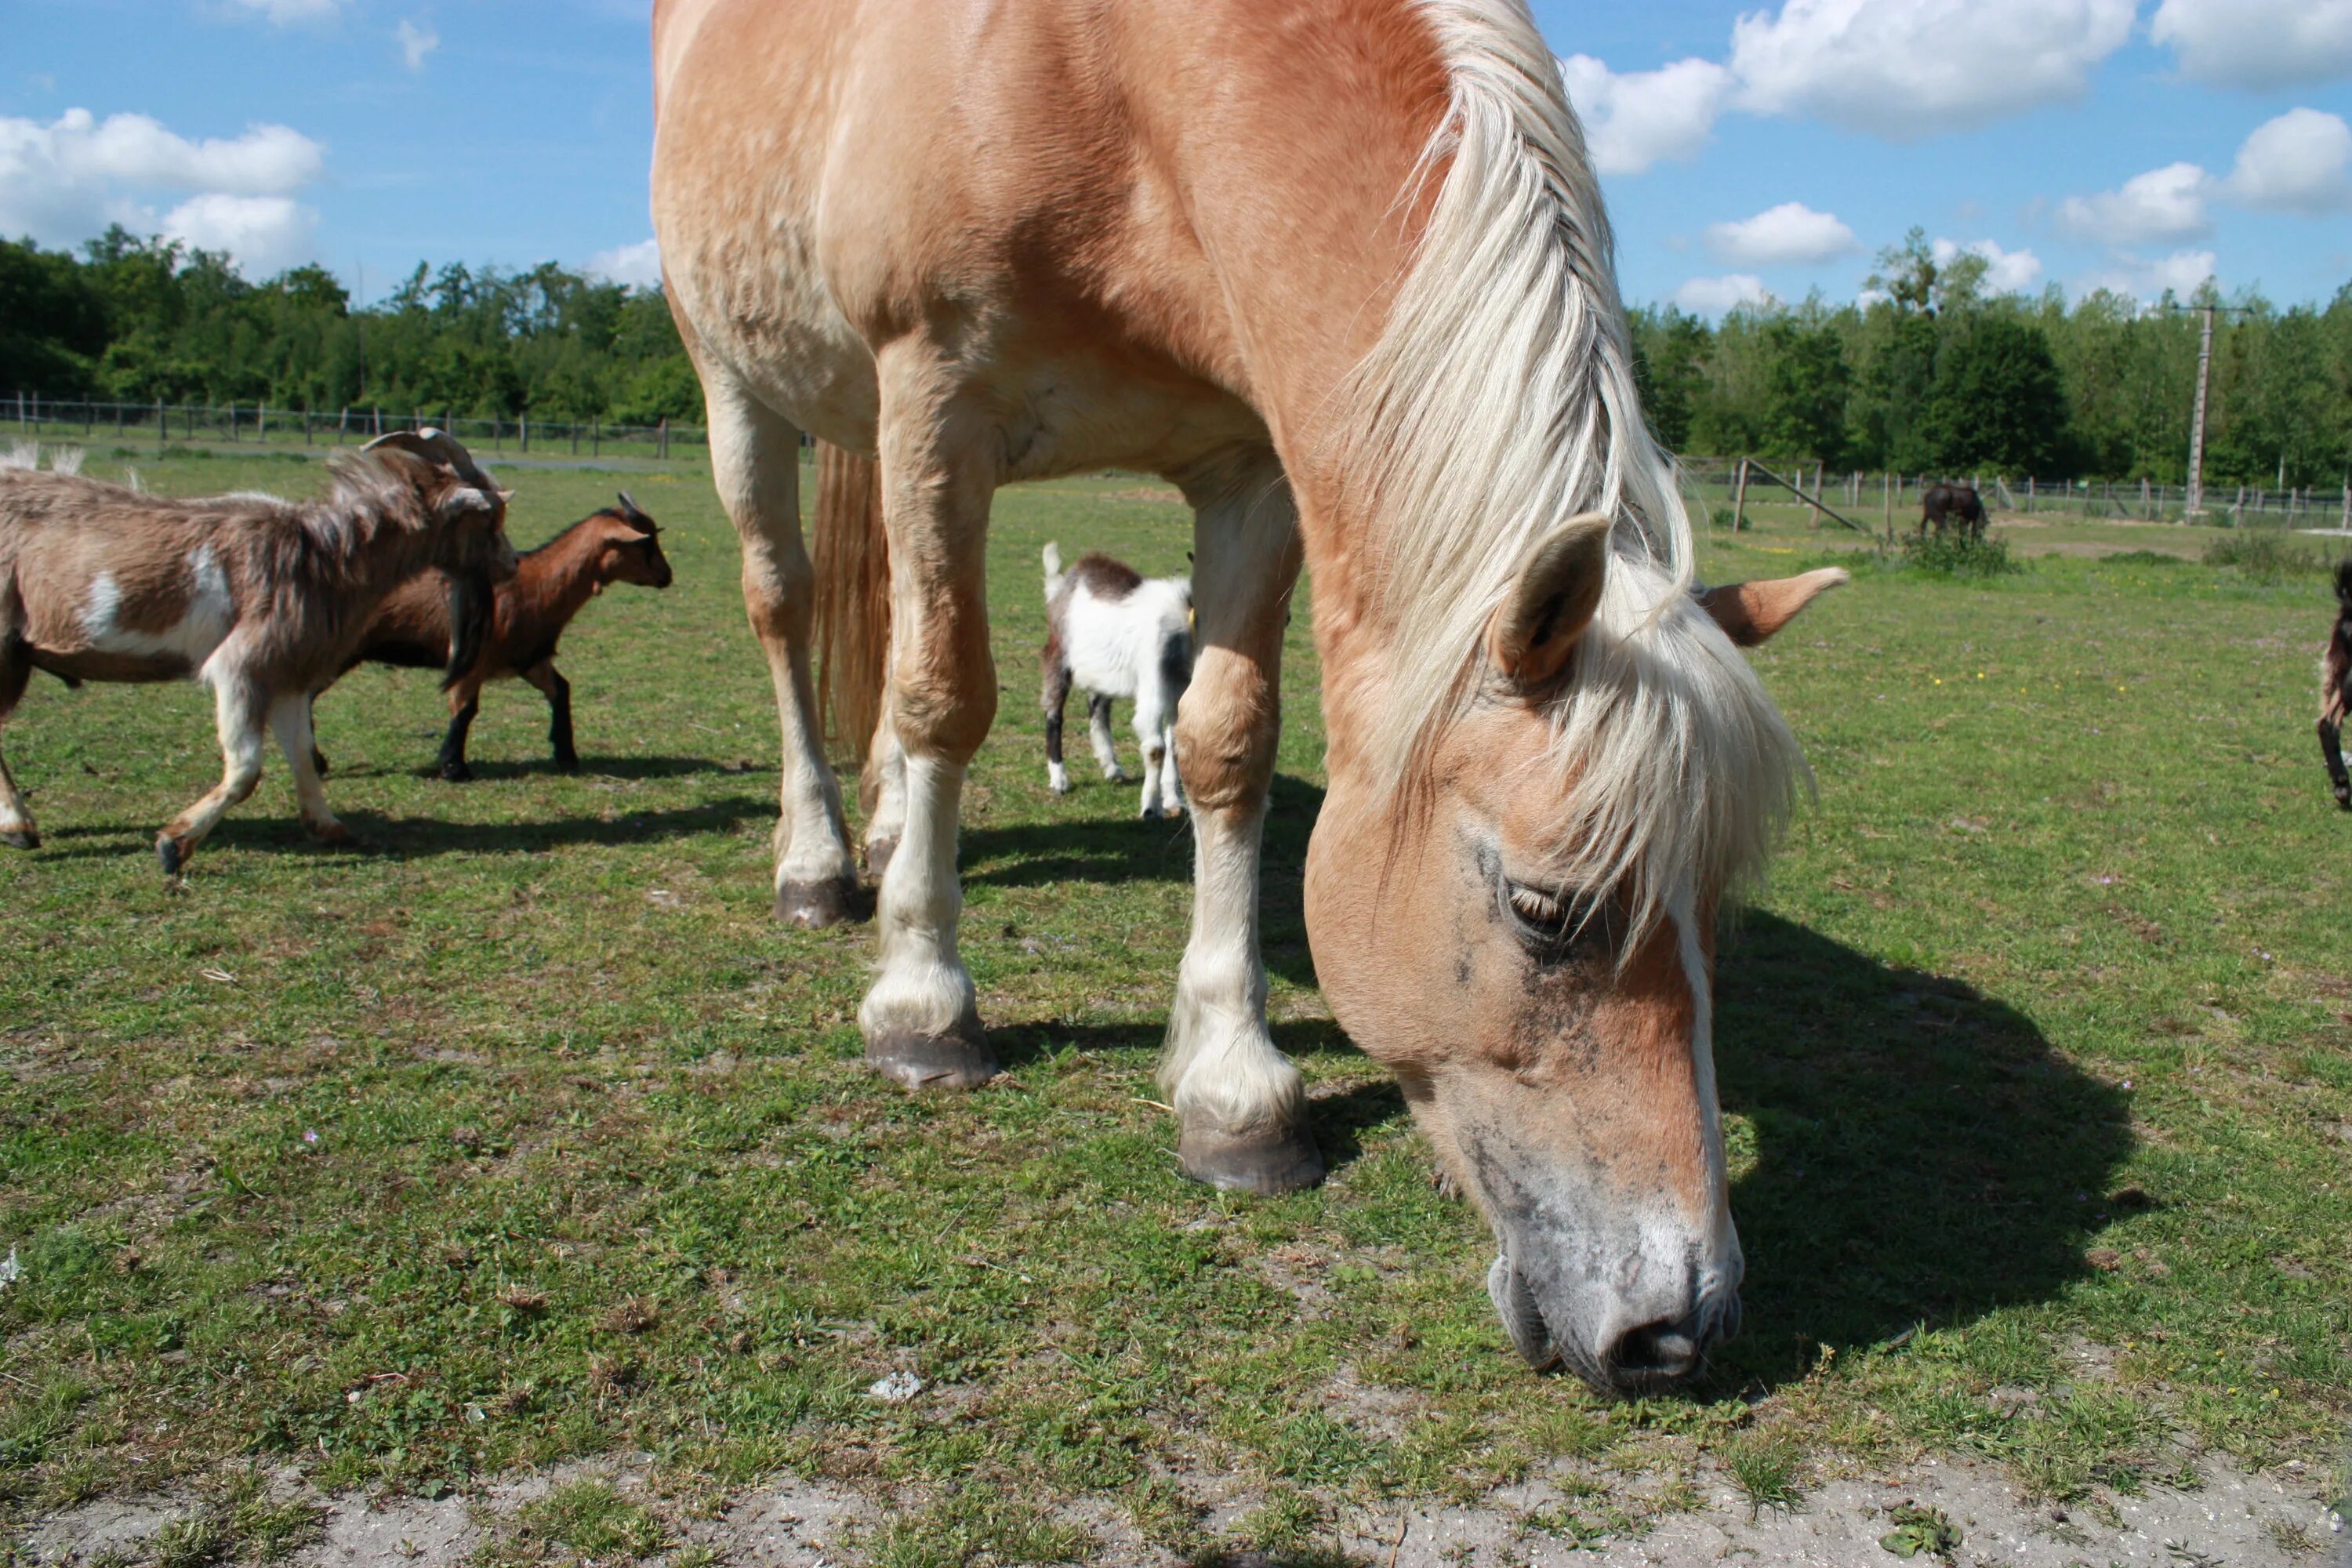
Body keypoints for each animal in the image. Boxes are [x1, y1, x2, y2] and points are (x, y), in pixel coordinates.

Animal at [0, 430, 517, 869]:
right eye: (488, 517)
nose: (512, 563)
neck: (323, 556)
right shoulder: (243, 665)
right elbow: (246, 768)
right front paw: (173, 845)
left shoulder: (288, 670)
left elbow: (302, 752)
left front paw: (329, 827)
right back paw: (21, 827)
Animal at [327, 493, 673, 780]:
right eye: (644, 543)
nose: (667, 576)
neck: (534, 583)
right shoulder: (471, 662)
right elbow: (465, 710)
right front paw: (454, 768)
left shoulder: (530, 659)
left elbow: (561, 690)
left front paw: (567, 756)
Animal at [654, 0, 1844, 1392]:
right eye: (1544, 910)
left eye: (1717, 907)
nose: (1683, 1326)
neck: (1100, 74)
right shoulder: (934, 395)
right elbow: (946, 696)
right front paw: (923, 1005)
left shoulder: (1250, 462)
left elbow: (1225, 743)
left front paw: (1234, 1090)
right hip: (745, 389)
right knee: (789, 610)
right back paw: (820, 861)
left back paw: (895, 830)